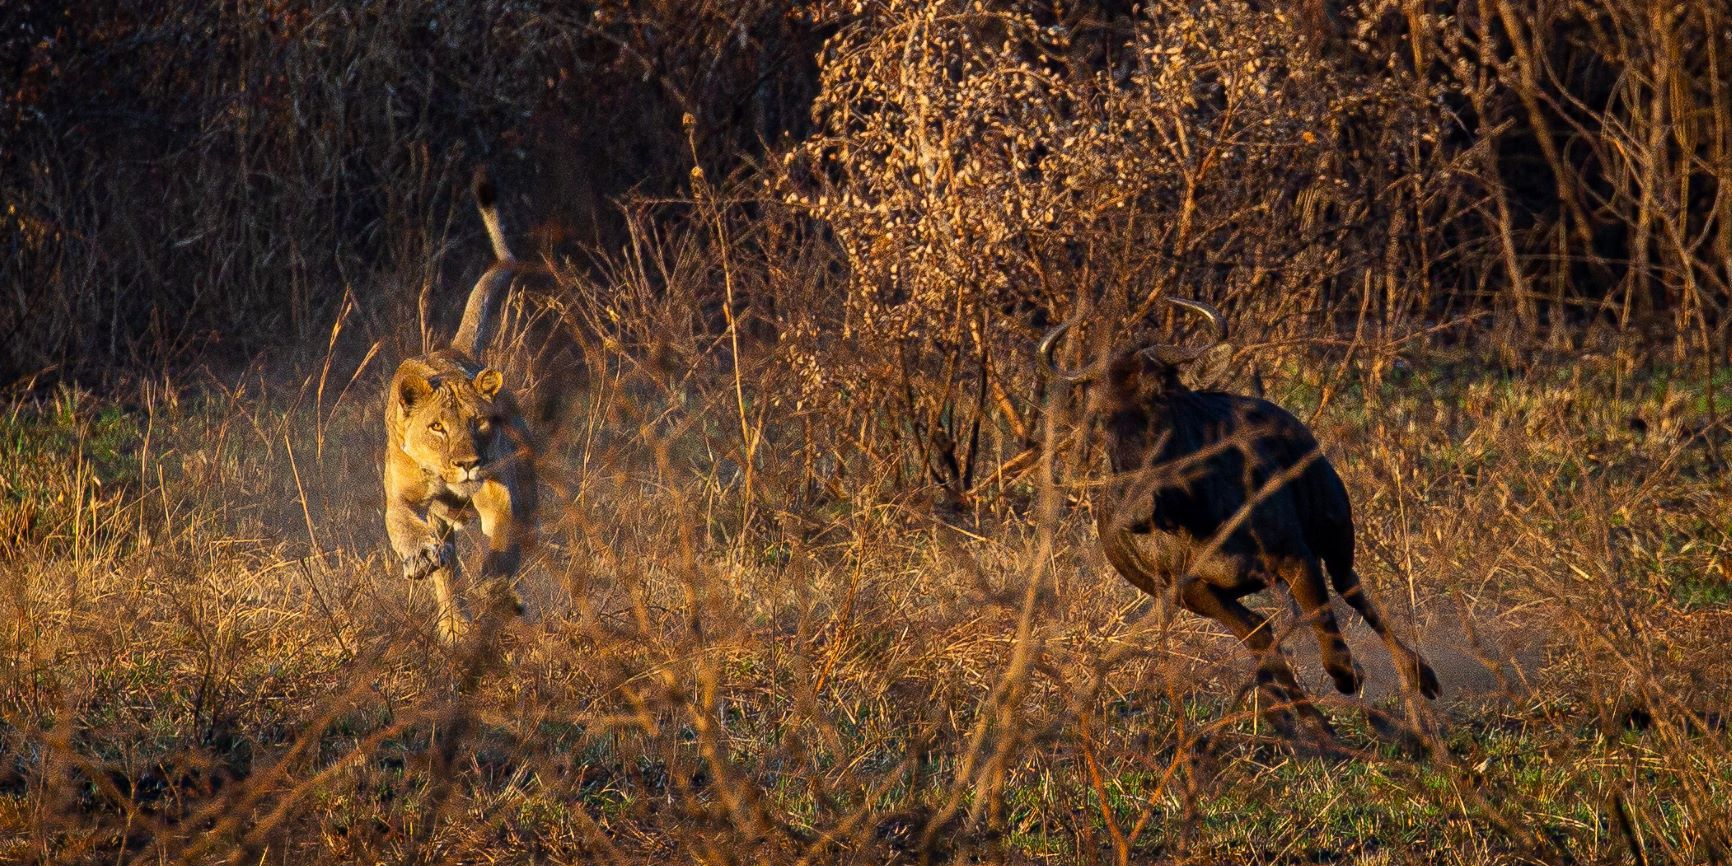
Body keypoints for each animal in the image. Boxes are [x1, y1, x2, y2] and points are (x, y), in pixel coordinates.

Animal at [384, 168, 537, 645]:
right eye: (437, 427)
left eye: (479, 422)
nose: (468, 464)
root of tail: (455, 348)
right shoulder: (402, 492)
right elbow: (401, 523)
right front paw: (419, 557)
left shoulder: (502, 490)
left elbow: (503, 540)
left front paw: (494, 585)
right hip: (443, 524)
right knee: (447, 573)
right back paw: (454, 625)